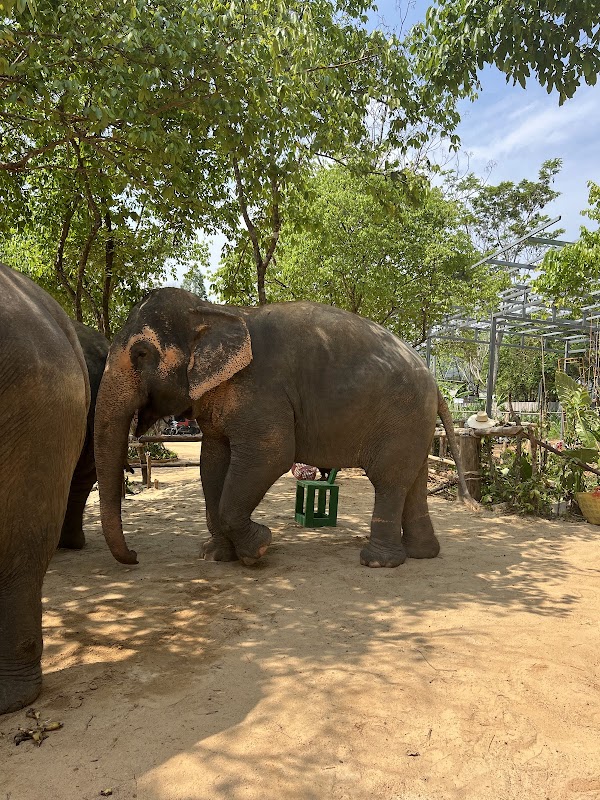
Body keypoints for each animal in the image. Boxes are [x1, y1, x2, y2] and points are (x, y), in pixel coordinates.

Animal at [94, 288, 475, 569]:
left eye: (142, 354)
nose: (135, 557)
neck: (214, 310)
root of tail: (435, 383)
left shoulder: (262, 390)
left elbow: (270, 455)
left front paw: (259, 549)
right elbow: (212, 462)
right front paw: (216, 556)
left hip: (401, 415)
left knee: (389, 479)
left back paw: (378, 563)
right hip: (415, 423)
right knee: (414, 480)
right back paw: (423, 555)